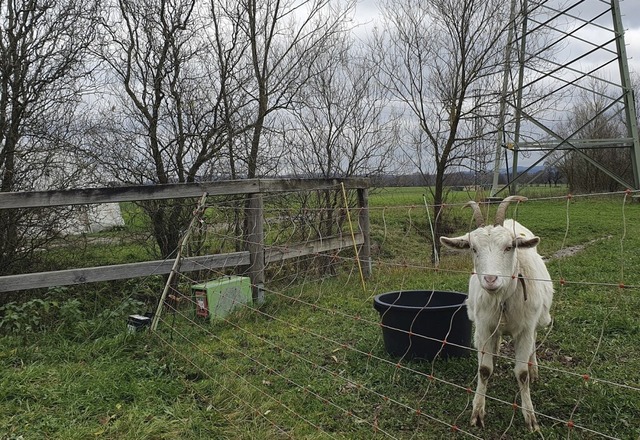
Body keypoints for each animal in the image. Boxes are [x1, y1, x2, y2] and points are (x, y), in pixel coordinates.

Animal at [442, 196, 552, 430]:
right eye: (473, 248)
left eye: (509, 247)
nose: (490, 280)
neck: (503, 299)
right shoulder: (484, 327)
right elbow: (484, 370)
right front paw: (477, 413)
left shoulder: (525, 329)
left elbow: (522, 373)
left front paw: (531, 418)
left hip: (537, 321)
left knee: (534, 343)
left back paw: (535, 369)